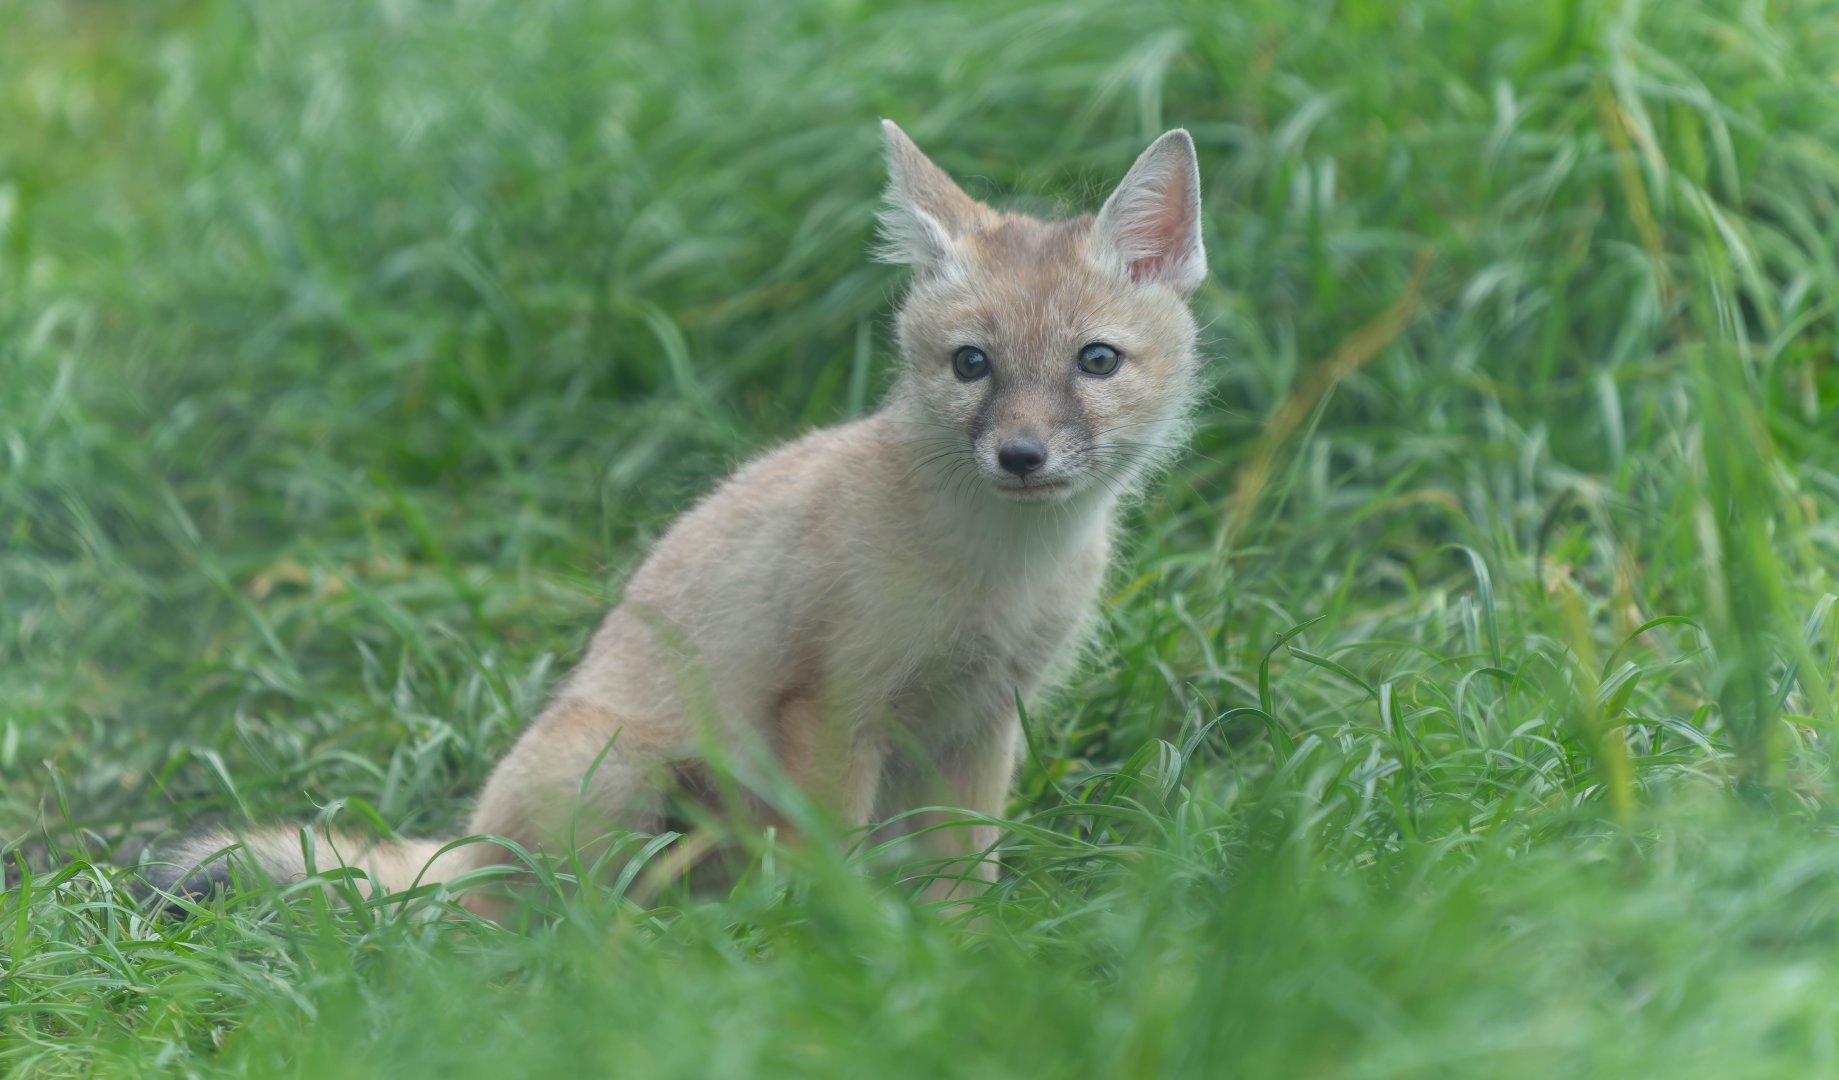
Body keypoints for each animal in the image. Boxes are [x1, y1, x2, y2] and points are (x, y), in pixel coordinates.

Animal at [142, 120, 1209, 920]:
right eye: (971, 365)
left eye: (1095, 362)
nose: (1020, 457)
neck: (1001, 575)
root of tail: (471, 847)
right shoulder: (834, 712)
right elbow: (835, 869)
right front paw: (845, 954)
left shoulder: (980, 724)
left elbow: (963, 879)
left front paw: (958, 959)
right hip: (620, 772)